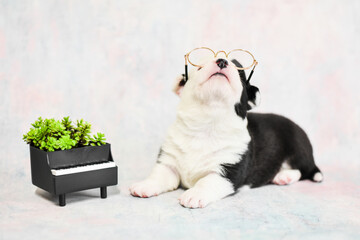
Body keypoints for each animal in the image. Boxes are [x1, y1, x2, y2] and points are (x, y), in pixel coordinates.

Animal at [130, 54, 324, 208]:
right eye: (199, 66)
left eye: (239, 71)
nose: (222, 61)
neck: (207, 124)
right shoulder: (168, 162)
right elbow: (159, 175)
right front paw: (144, 186)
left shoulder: (227, 172)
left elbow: (207, 182)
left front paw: (194, 195)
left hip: (298, 147)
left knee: (304, 170)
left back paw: (285, 176)